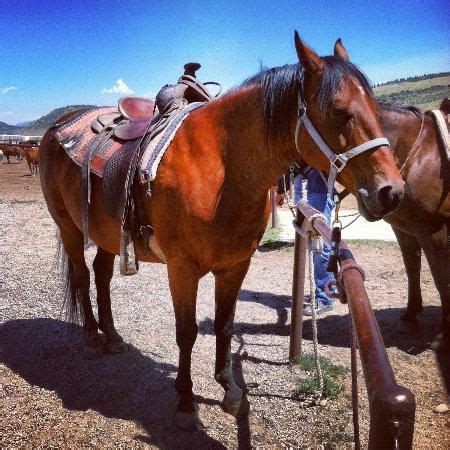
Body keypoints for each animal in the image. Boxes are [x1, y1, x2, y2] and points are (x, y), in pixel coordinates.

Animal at [39, 34, 404, 428]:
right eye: (338, 111)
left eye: (375, 107)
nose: (391, 192)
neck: (223, 167)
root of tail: (59, 126)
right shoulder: (182, 270)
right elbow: (186, 333)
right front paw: (185, 401)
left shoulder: (234, 266)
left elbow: (225, 326)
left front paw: (229, 389)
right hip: (69, 226)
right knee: (81, 275)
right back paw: (93, 337)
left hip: (108, 235)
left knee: (102, 275)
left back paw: (113, 336)